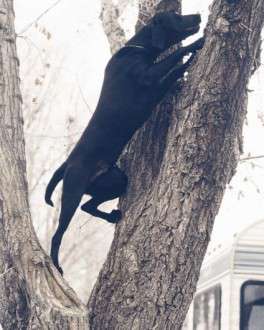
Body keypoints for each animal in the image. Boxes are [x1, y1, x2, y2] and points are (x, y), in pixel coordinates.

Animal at [44, 10, 204, 274]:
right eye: (176, 16)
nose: (199, 15)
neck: (138, 48)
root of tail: (66, 164)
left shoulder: (156, 85)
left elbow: (174, 72)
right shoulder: (149, 77)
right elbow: (173, 63)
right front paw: (196, 46)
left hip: (114, 181)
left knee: (88, 206)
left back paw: (111, 217)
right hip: (73, 193)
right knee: (59, 232)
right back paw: (56, 263)